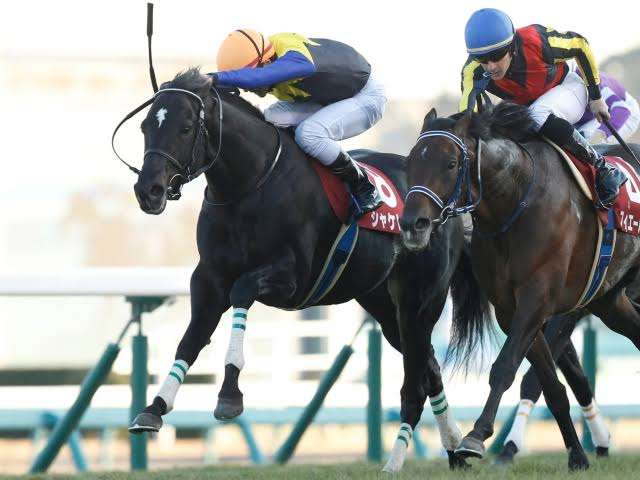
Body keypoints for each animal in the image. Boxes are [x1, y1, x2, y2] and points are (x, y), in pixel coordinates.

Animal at [119, 68, 488, 471]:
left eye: (186, 127)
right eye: (145, 126)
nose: (148, 191)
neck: (249, 186)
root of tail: (449, 206)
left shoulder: (293, 278)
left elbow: (242, 291)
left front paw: (229, 395)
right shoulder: (208, 278)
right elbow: (191, 338)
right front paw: (154, 409)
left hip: (420, 299)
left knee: (421, 368)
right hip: (384, 306)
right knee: (429, 367)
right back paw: (454, 451)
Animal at [400, 102, 640, 470]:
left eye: (451, 163)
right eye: (411, 161)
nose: (413, 224)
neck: (514, 202)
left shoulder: (537, 298)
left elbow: (504, 368)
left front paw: (476, 437)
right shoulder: (510, 309)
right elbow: (550, 386)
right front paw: (577, 456)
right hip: (610, 300)